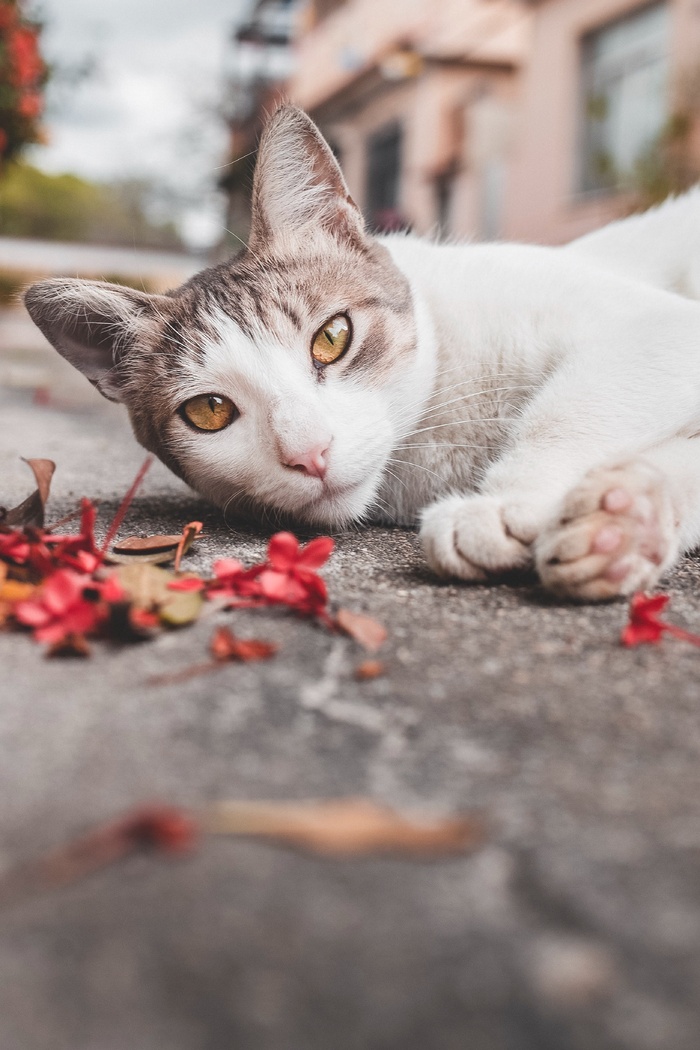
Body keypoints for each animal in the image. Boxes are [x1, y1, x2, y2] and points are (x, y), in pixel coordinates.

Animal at [21, 105, 700, 604]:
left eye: (333, 336)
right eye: (209, 411)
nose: (310, 454)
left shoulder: (658, 325)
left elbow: (575, 406)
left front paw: (510, 500)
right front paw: (626, 523)